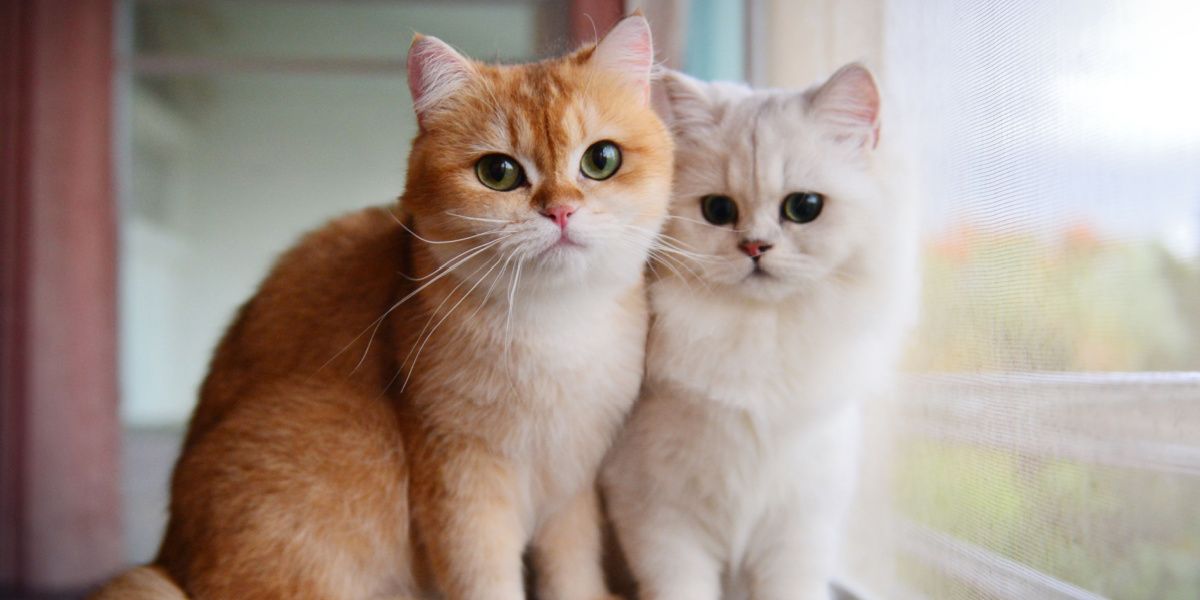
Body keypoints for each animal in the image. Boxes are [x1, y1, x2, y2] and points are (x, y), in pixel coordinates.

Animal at [93, 15, 676, 600]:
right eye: (499, 173)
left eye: (601, 160)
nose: (560, 211)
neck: (558, 328)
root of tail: (170, 560)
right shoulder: (461, 481)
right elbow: (484, 577)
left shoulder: (570, 484)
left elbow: (574, 570)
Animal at [604, 63, 912, 597]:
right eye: (718, 211)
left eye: (804, 207)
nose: (755, 248)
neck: (759, 335)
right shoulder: (659, 520)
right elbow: (682, 588)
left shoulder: (798, 530)